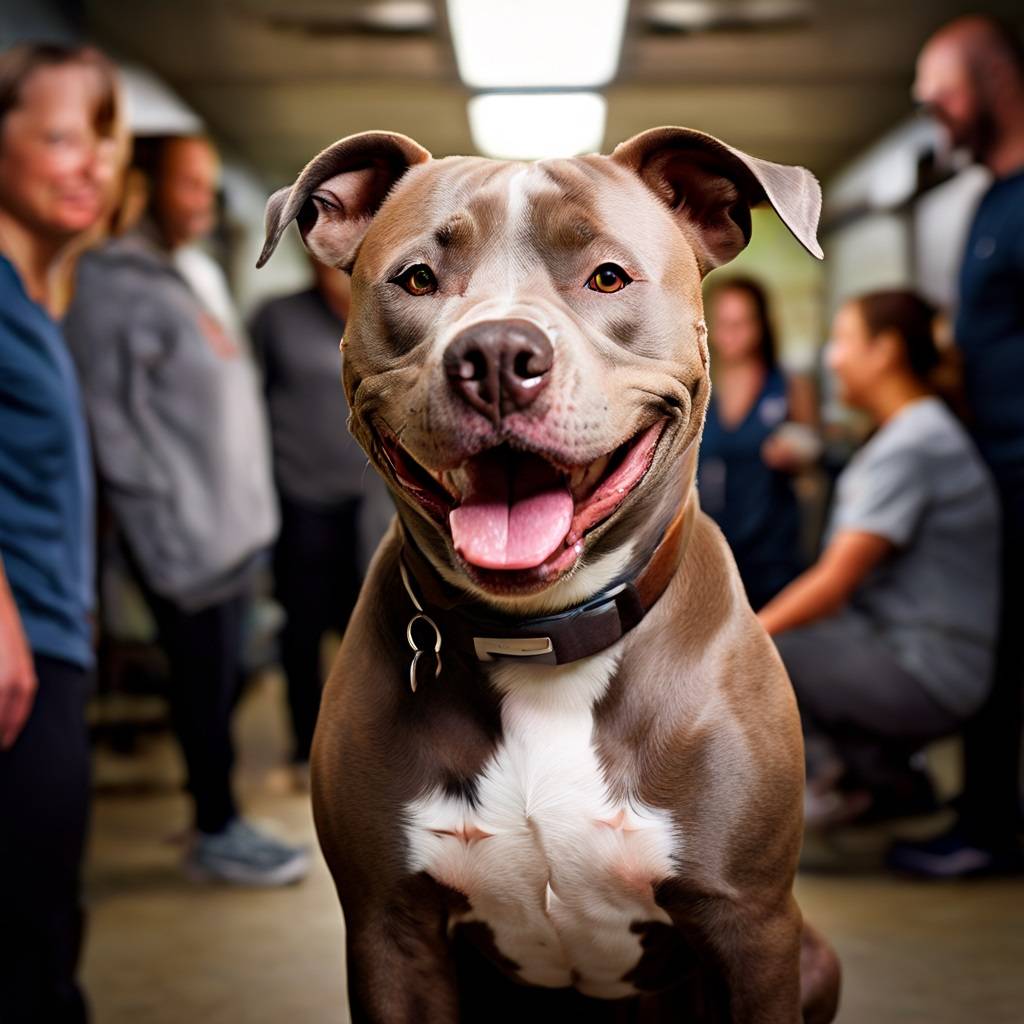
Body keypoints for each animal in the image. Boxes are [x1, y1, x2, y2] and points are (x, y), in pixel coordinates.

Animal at [260, 128, 843, 1024]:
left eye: (607, 275)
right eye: (417, 279)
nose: (497, 352)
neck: (541, 641)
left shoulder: (754, 927)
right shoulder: (390, 929)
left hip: (815, 953)